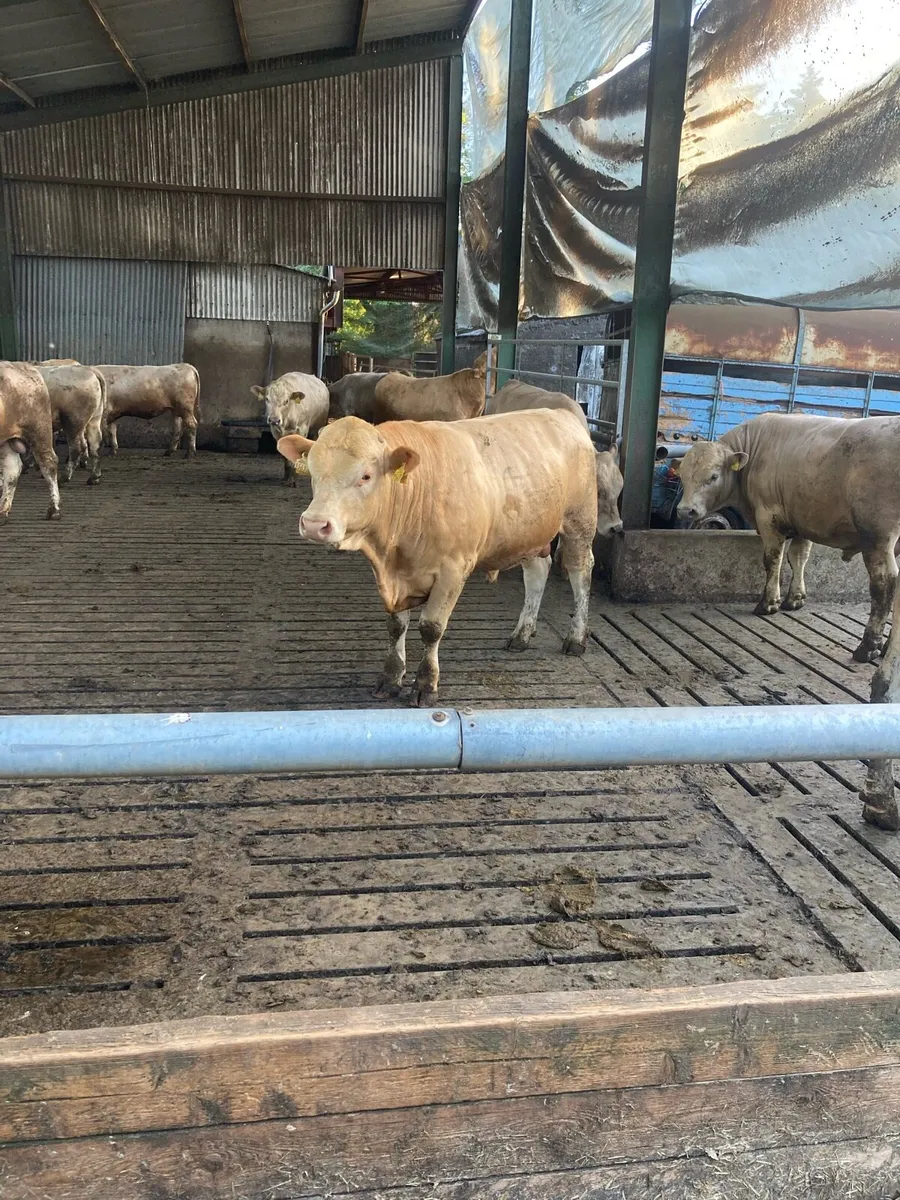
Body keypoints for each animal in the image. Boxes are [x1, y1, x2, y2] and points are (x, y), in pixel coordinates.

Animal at [0, 361, 60, 522]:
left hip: (39, 429)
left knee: (49, 463)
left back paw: (54, 509)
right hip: (6, 439)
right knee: (12, 470)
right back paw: (3, 511)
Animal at [277, 410, 598, 707]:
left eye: (366, 475)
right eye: (313, 472)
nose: (315, 524)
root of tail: (561, 412)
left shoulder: (453, 569)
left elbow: (431, 628)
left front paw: (425, 685)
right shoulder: (393, 576)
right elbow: (396, 626)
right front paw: (391, 677)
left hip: (579, 523)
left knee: (581, 573)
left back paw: (576, 638)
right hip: (531, 534)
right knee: (536, 572)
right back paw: (521, 634)